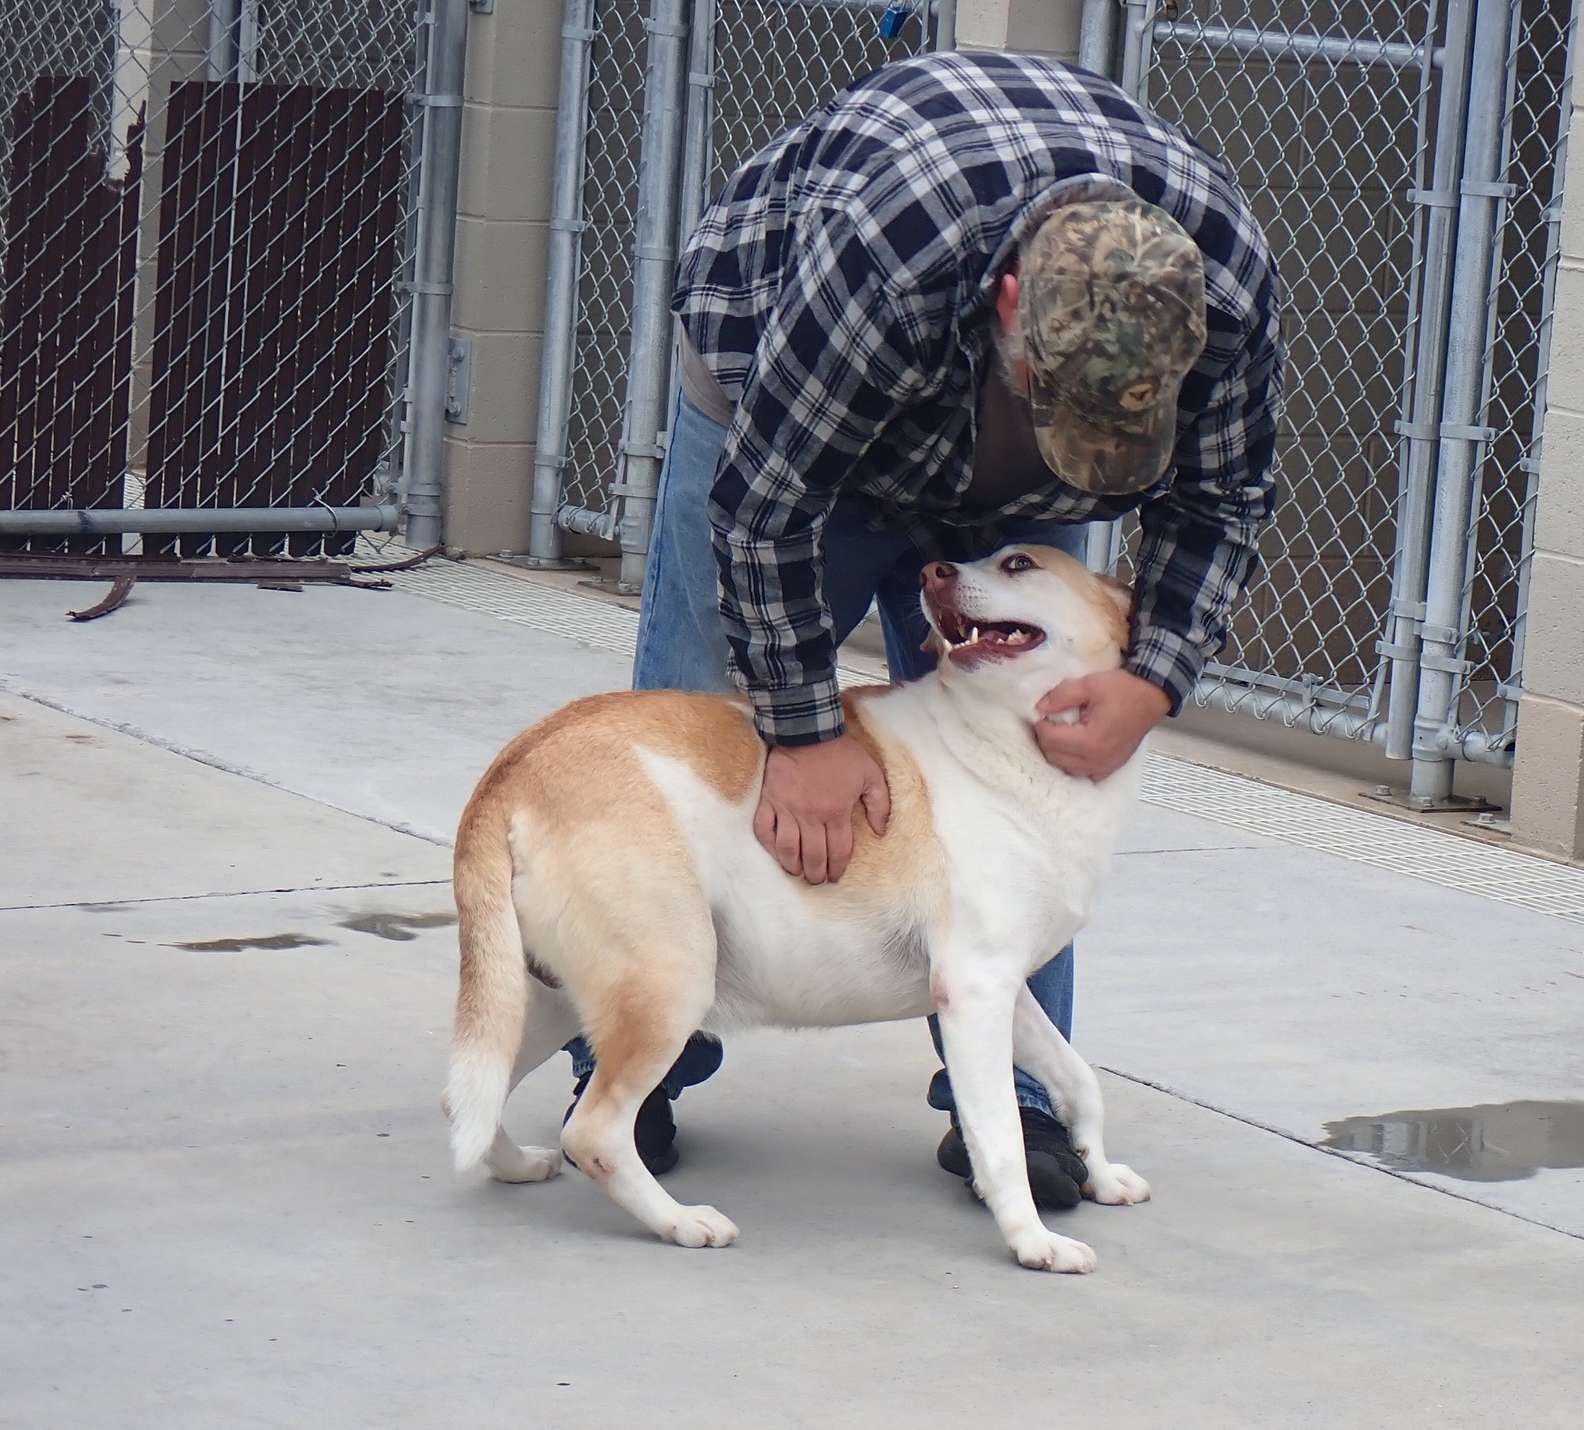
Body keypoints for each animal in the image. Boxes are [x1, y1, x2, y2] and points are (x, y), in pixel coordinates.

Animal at [444, 545, 1149, 1272]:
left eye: (1016, 562)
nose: (933, 572)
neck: (1007, 740)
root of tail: (517, 766)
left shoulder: (1006, 991)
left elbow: (1079, 1080)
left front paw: (1099, 1173)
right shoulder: (975, 993)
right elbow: (1002, 1137)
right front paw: (1033, 1241)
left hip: (545, 1001)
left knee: (473, 1095)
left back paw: (516, 1165)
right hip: (670, 983)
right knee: (595, 1133)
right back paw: (680, 1222)